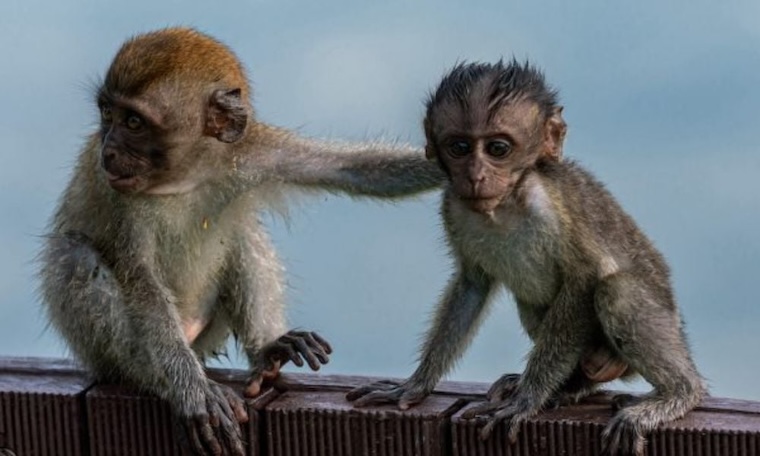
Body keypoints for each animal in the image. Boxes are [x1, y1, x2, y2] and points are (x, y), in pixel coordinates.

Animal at [38, 27, 444, 456]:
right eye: (107, 114)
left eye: (133, 122)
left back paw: (269, 351)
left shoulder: (252, 150)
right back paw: (153, 375)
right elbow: (141, 284)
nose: (109, 150)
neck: (183, 176)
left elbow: (353, 170)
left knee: (240, 232)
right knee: (76, 255)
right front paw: (191, 390)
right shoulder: (116, 197)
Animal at [347, 60, 706, 455]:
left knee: (616, 289)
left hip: (656, 330)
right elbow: (472, 283)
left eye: (498, 149)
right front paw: (417, 384)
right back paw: (573, 385)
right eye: (459, 147)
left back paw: (678, 393)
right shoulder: (453, 205)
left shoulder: (545, 204)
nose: (476, 175)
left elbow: (585, 280)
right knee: (534, 301)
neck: (503, 205)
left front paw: (527, 399)